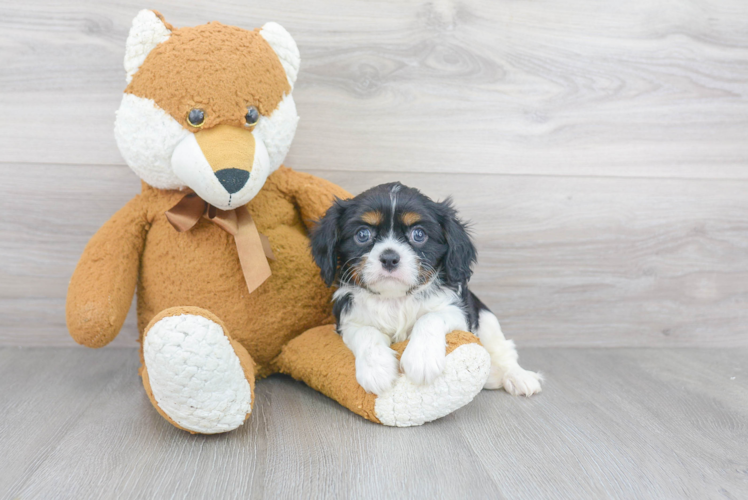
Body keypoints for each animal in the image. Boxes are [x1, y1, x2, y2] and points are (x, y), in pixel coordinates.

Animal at [310, 184, 544, 398]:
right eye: (362, 234)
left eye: (419, 234)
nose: (389, 258)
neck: (395, 298)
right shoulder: (348, 322)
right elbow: (366, 333)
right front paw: (376, 370)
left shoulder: (457, 311)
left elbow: (430, 318)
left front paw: (421, 360)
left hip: (487, 320)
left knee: (503, 350)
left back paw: (519, 377)